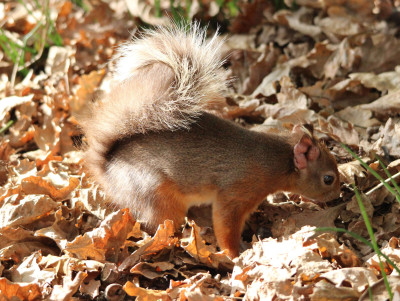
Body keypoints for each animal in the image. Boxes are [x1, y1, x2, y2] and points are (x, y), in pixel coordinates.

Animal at [82, 23, 340, 258]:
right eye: (328, 179)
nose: (337, 197)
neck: (276, 161)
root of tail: (108, 168)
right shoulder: (236, 192)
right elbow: (226, 225)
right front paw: (234, 254)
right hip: (156, 196)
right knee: (157, 225)